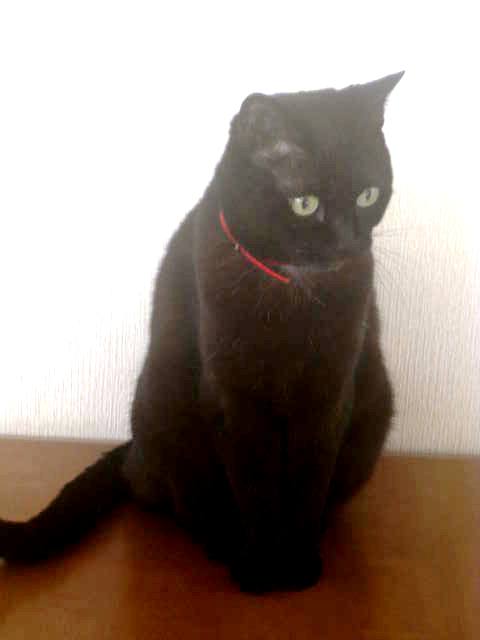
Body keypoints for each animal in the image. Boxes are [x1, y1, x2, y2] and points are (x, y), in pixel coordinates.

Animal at [0, 72, 403, 593]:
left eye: (367, 195)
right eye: (304, 203)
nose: (347, 242)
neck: (293, 296)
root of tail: (133, 455)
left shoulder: (329, 391)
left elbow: (308, 482)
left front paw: (298, 565)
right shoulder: (234, 398)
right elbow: (256, 486)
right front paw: (261, 568)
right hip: (164, 405)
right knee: (180, 501)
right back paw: (221, 542)